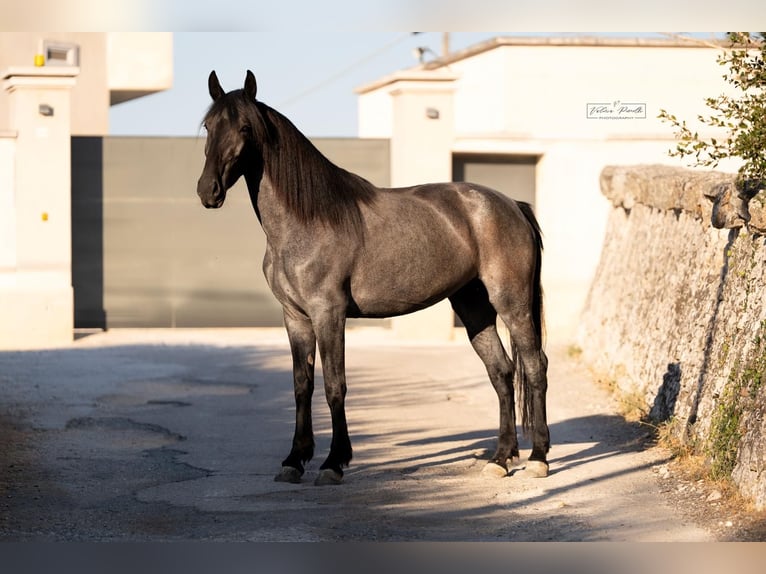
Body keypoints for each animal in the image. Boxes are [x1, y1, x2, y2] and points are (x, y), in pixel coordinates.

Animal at [197, 70, 550, 486]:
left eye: (245, 127)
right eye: (209, 126)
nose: (208, 191)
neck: (307, 221)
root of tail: (512, 205)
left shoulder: (328, 315)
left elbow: (335, 385)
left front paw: (333, 462)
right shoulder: (295, 318)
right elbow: (302, 386)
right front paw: (294, 460)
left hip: (512, 303)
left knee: (535, 366)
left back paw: (539, 457)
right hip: (474, 307)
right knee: (501, 372)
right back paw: (501, 458)